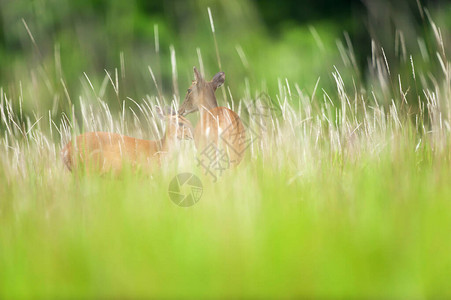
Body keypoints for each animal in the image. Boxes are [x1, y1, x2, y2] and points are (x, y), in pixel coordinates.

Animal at [61, 107, 192, 173]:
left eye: (188, 120)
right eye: (180, 123)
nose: (192, 134)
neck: (159, 150)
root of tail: (65, 149)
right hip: (88, 169)